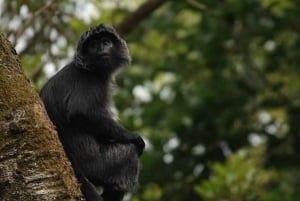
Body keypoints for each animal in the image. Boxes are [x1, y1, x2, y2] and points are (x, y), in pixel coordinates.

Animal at [40, 24, 145, 201]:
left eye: (106, 42)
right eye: (93, 45)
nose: (102, 48)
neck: (91, 70)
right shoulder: (89, 81)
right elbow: (80, 112)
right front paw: (134, 137)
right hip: (99, 165)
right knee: (130, 154)